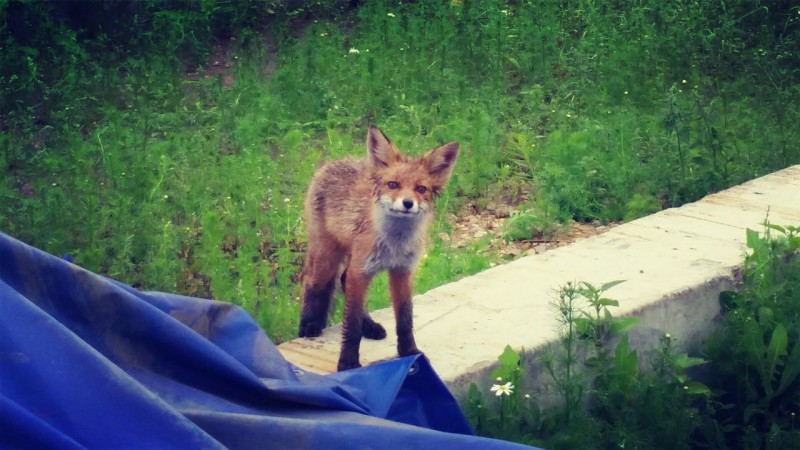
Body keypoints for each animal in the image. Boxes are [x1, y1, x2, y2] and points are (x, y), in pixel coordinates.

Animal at [298, 125, 462, 370]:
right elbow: (351, 324)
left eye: (421, 189)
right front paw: (348, 363)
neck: (394, 245)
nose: (407, 203)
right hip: (327, 256)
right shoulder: (362, 269)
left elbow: (405, 320)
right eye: (393, 185)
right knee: (313, 282)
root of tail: (333, 162)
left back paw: (369, 326)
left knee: (343, 281)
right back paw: (308, 325)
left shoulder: (402, 271)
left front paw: (409, 352)